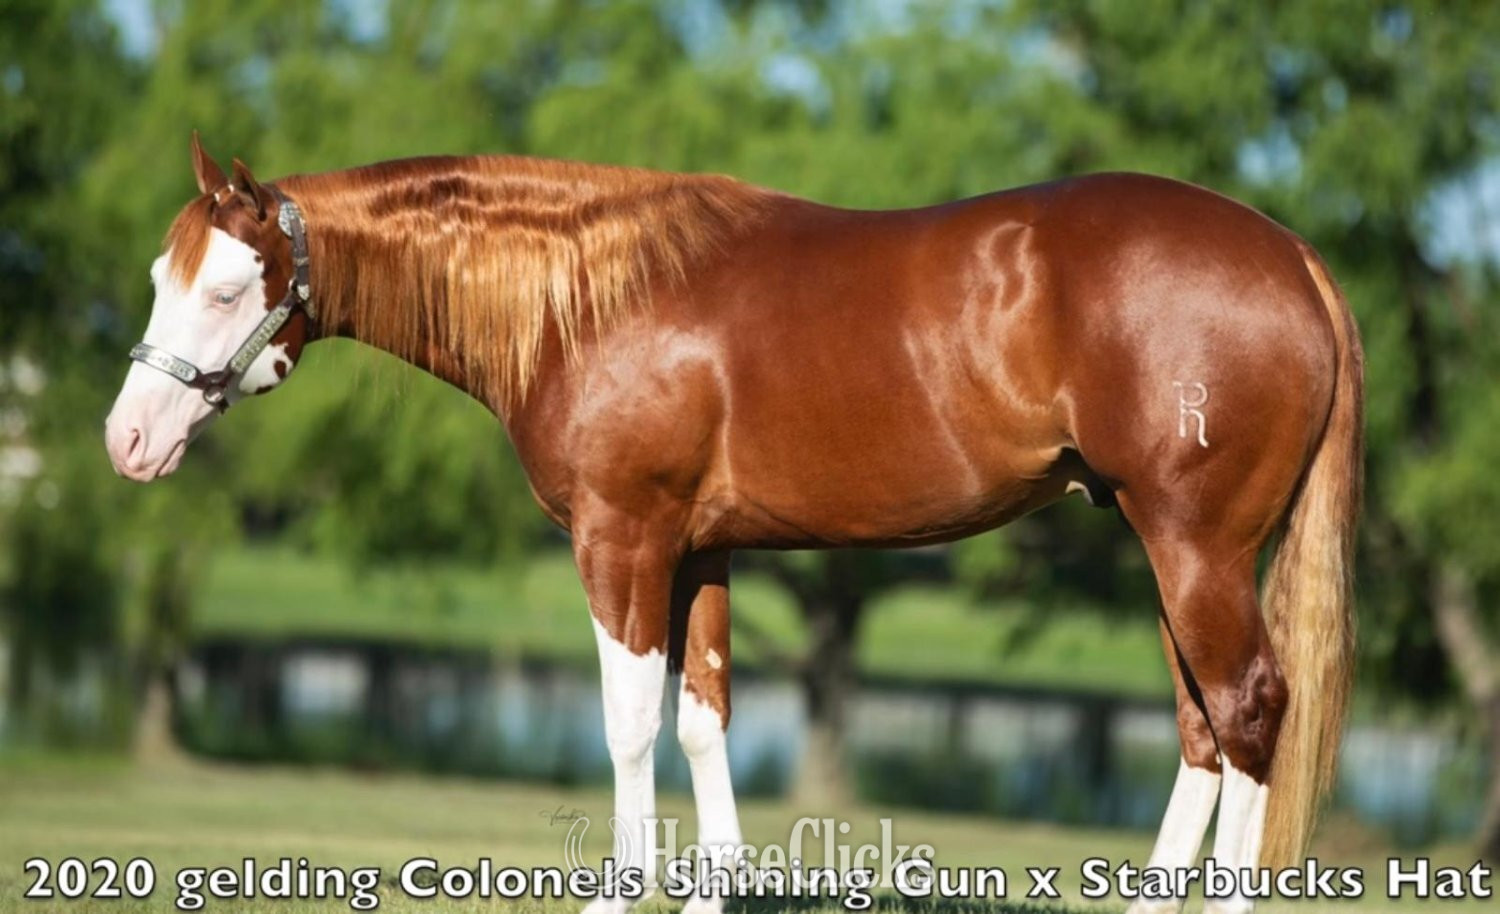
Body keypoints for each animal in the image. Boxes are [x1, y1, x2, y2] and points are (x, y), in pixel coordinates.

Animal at [105, 134, 1361, 914]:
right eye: (163, 277)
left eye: (227, 288)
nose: (127, 439)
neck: (592, 297)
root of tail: (1293, 255)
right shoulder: (702, 547)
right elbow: (703, 719)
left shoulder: (621, 538)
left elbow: (627, 725)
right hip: (1169, 550)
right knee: (1204, 730)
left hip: (1196, 548)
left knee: (1250, 711)